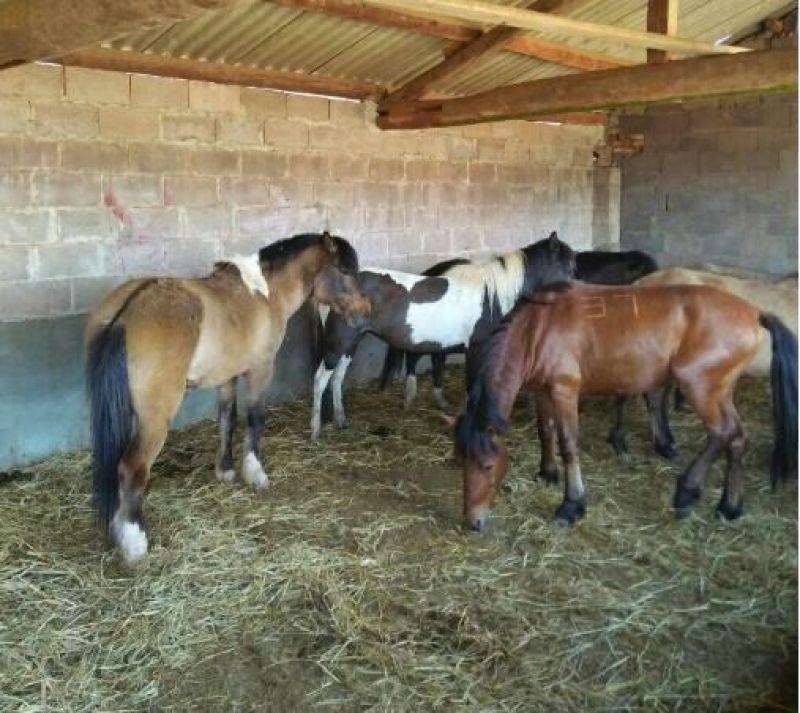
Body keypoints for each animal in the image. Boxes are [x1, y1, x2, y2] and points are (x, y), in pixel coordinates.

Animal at [86, 232, 370, 565]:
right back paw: (135, 543)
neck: (265, 294)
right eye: (345, 270)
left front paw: (225, 470)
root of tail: (126, 313)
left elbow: (227, 420)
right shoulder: (260, 370)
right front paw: (255, 473)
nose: (364, 314)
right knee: (132, 468)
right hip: (154, 419)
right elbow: (255, 420)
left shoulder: (227, 378)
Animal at [309, 231, 576, 440]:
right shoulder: (476, 348)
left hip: (350, 344)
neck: (493, 296)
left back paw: (341, 421)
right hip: (338, 343)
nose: (578, 299)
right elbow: (473, 386)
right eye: (568, 266)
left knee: (337, 378)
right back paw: (315, 430)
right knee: (321, 379)